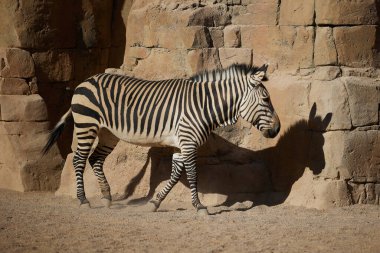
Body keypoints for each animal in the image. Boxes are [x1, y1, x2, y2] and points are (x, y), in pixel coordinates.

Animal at [42, 63, 280, 213]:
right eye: (266, 99)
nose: (278, 129)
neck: (204, 106)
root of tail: (86, 81)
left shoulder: (181, 145)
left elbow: (174, 176)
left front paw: (155, 203)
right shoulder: (188, 142)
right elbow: (192, 174)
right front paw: (200, 207)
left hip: (108, 133)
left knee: (95, 160)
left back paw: (107, 198)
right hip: (86, 125)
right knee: (79, 160)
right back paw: (83, 200)